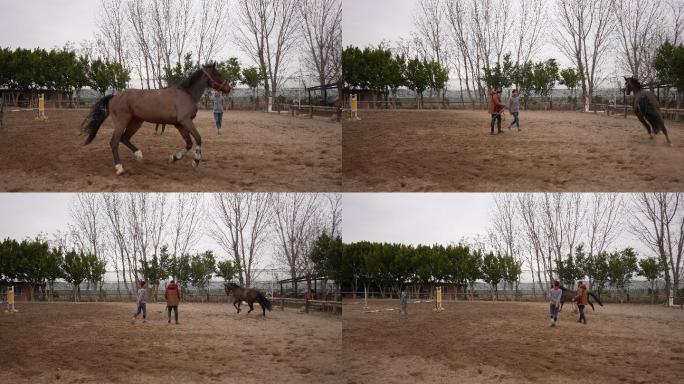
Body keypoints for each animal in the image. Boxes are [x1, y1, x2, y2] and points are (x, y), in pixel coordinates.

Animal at [81, 62, 231, 176]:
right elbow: (198, 138)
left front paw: (173, 158)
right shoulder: (186, 121)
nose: (228, 88)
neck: (186, 94)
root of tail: (114, 96)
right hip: (121, 122)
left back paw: (138, 155)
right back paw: (119, 167)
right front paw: (196, 161)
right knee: (114, 142)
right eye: (218, 74)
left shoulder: (179, 124)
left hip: (136, 122)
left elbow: (188, 143)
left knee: (125, 138)